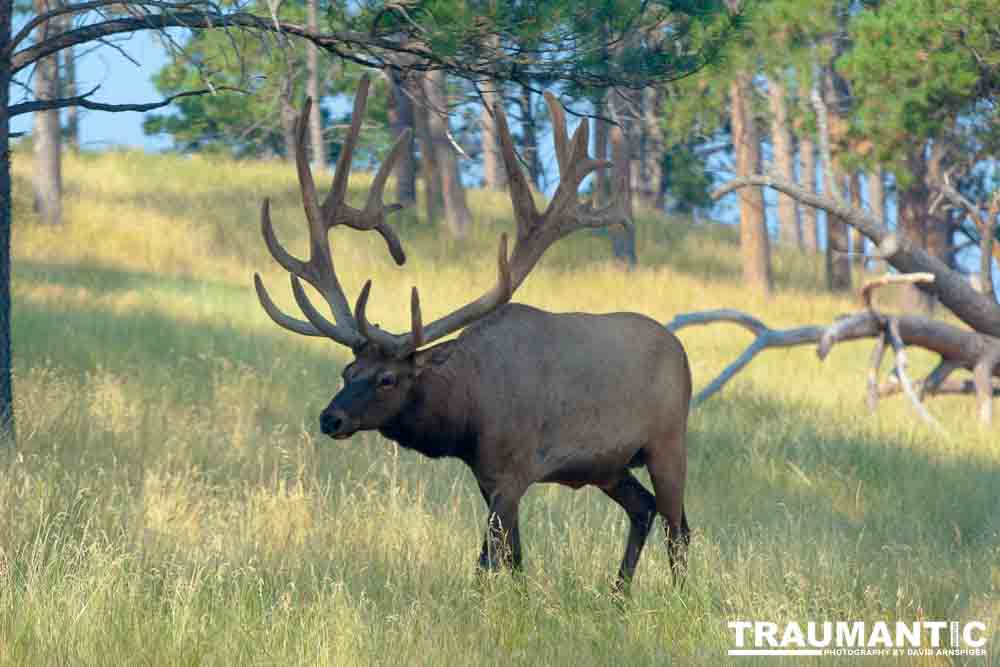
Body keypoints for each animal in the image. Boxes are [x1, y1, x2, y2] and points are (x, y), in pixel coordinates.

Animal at [254, 75, 692, 592]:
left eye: (388, 379)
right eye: (347, 370)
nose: (330, 418)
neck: (467, 415)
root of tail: (681, 351)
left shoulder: (515, 469)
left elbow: (488, 560)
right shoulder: (486, 477)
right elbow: (513, 557)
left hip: (668, 441)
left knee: (678, 527)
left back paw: (676, 595)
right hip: (611, 465)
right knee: (645, 509)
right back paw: (618, 594)